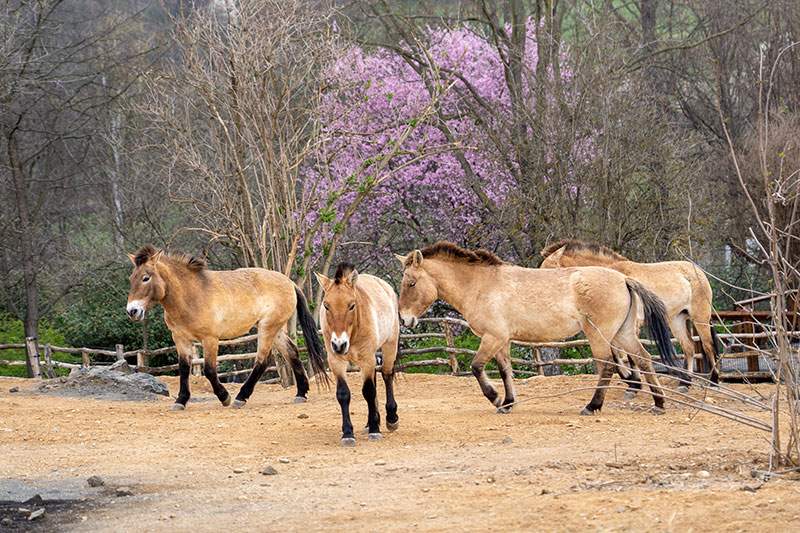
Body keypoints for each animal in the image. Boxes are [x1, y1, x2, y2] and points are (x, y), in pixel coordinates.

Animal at [126, 243, 326, 410]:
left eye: (146, 278)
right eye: (131, 278)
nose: (132, 311)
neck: (191, 295)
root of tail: (289, 282)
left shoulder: (210, 339)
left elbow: (209, 370)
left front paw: (224, 397)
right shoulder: (180, 338)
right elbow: (184, 368)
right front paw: (181, 401)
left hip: (267, 328)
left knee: (262, 360)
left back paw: (240, 398)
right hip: (275, 330)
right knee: (292, 353)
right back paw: (301, 394)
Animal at [314, 262, 398, 444]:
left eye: (351, 305)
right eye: (326, 306)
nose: (339, 345)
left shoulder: (367, 358)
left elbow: (369, 391)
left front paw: (375, 430)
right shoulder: (336, 361)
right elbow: (343, 394)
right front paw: (348, 433)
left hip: (390, 345)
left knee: (387, 374)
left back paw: (391, 418)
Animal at [396, 241, 680, 416]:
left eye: (411, 283)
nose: (404, 320)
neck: (481, 285)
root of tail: (623, 278)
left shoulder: (492, 337)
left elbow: (476, 367)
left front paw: (495, 398)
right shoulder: (502, 341)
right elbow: (505, 370)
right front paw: (508, 403)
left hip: (600, 336)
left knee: (607, 366)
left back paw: (592, 406)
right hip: (624, 334)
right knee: (643, 359)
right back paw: (659, 402)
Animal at [536, 238, 720, 390]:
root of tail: (698, 271)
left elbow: (628, 355)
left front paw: (634, 383)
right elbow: (618, 355)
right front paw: (631, 380)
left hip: (700, 318)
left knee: (708, 346)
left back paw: (714, 382)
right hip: (677, 319)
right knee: (689, 347)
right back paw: (685, 384)